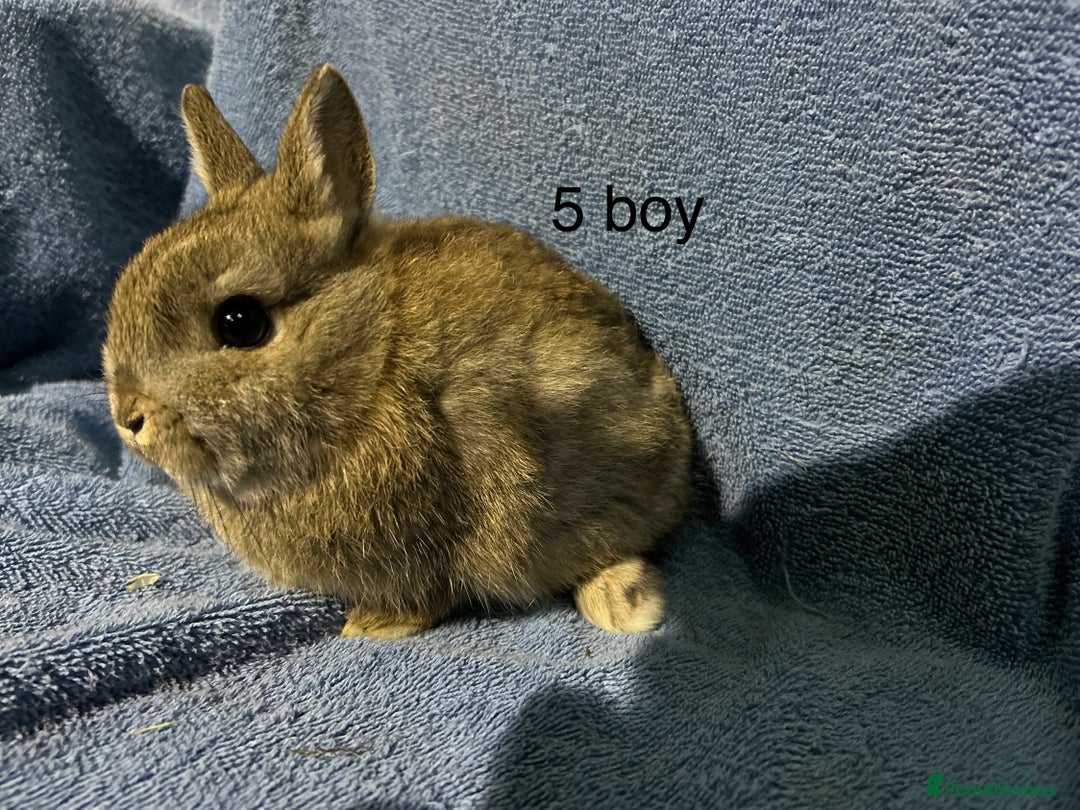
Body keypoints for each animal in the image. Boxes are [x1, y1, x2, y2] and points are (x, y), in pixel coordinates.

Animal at [103, 64, 692, 639]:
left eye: (240, 322)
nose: (128, 420)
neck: (372, 363)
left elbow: (425, 592)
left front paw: (369, 628)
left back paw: (628, 603)